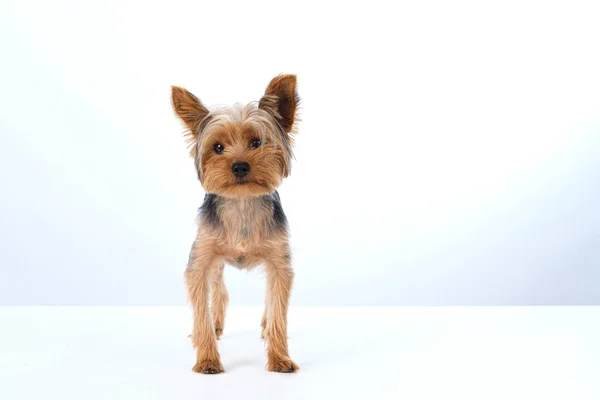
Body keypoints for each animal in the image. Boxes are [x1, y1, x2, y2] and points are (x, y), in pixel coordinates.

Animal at [170, 73, 300, 374]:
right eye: (218, 147)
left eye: (257, 143)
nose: (240, 166)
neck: (242, 202)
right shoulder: (200, 259)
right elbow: (201, 309)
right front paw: (207, 359)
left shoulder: (280, 262)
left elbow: (278, 308)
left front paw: (280, 358)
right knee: (218, 289)